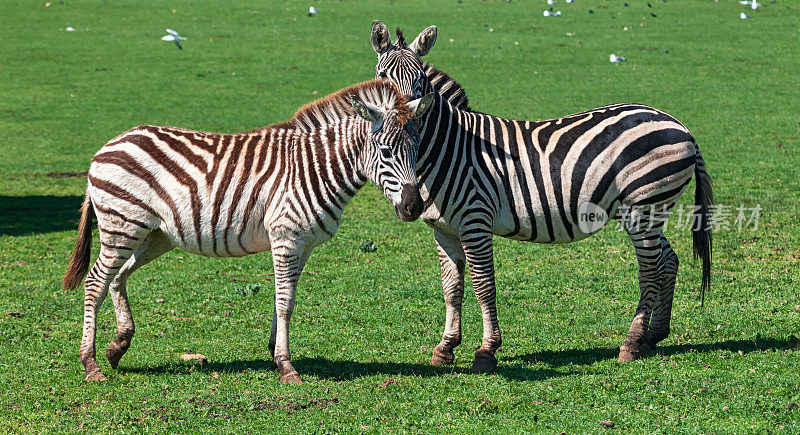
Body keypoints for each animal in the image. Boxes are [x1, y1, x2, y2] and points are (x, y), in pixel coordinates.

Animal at [63, 79, 434, 384]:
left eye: (418, 150)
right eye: (385, 151)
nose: (414, 208)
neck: (315, 167)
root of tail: (107, 146)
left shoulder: (304, 244)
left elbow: (288, 298)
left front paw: (275, 352)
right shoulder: (286, 237)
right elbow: (284, 301)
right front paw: (286, 366)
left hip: (155, 235)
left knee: (117, 276)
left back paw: (118, 346)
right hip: (123, 225)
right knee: (96, 281)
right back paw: (91, 364)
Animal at [368, 21, 712, 372]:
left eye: (420, 80)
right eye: (382, 76)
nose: (403, 122)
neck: (448, 147)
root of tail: (679, 124)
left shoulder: (475, 221)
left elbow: (483, 285)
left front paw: (486, 350)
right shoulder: (443, 229)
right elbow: (452, 288)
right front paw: (446, 347)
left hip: (644, 206)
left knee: (650, 271)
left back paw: (631, 343)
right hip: (650, 211)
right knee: (668, 261)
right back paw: (654, 335)